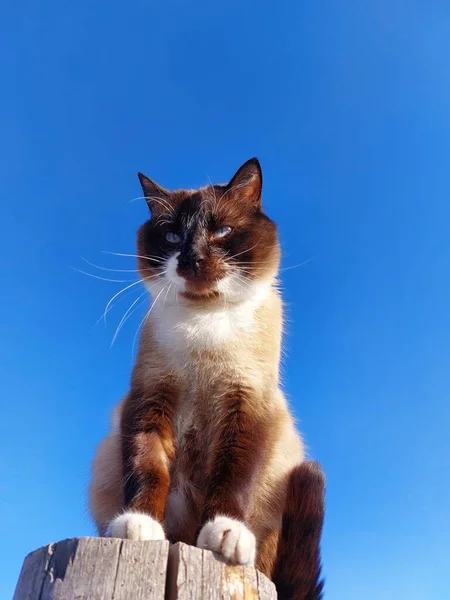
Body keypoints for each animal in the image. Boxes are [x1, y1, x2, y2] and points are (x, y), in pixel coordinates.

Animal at [89, 157, 324, 596]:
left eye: (222, 232)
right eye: (172, 236)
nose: (191, 259)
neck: (205, 324)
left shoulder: (246, 405)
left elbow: (233, 476)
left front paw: (224, 534)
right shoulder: (150, 398)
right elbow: (147, 468)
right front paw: (139, 526)